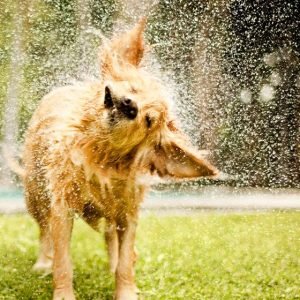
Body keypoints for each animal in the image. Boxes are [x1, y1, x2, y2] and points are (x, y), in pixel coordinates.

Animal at [21, 18, 219, 300]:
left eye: (148, 120)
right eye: (133, 89)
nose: (129, 105)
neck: (100, 154)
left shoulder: (128, 209)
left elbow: (126, 260)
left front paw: (126, 290)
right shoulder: (63, 205)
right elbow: (63, 261)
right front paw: (63, 292)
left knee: (111, 238)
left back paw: (112, 263)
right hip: (36, 193)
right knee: (43, 230)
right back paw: (42, 263)